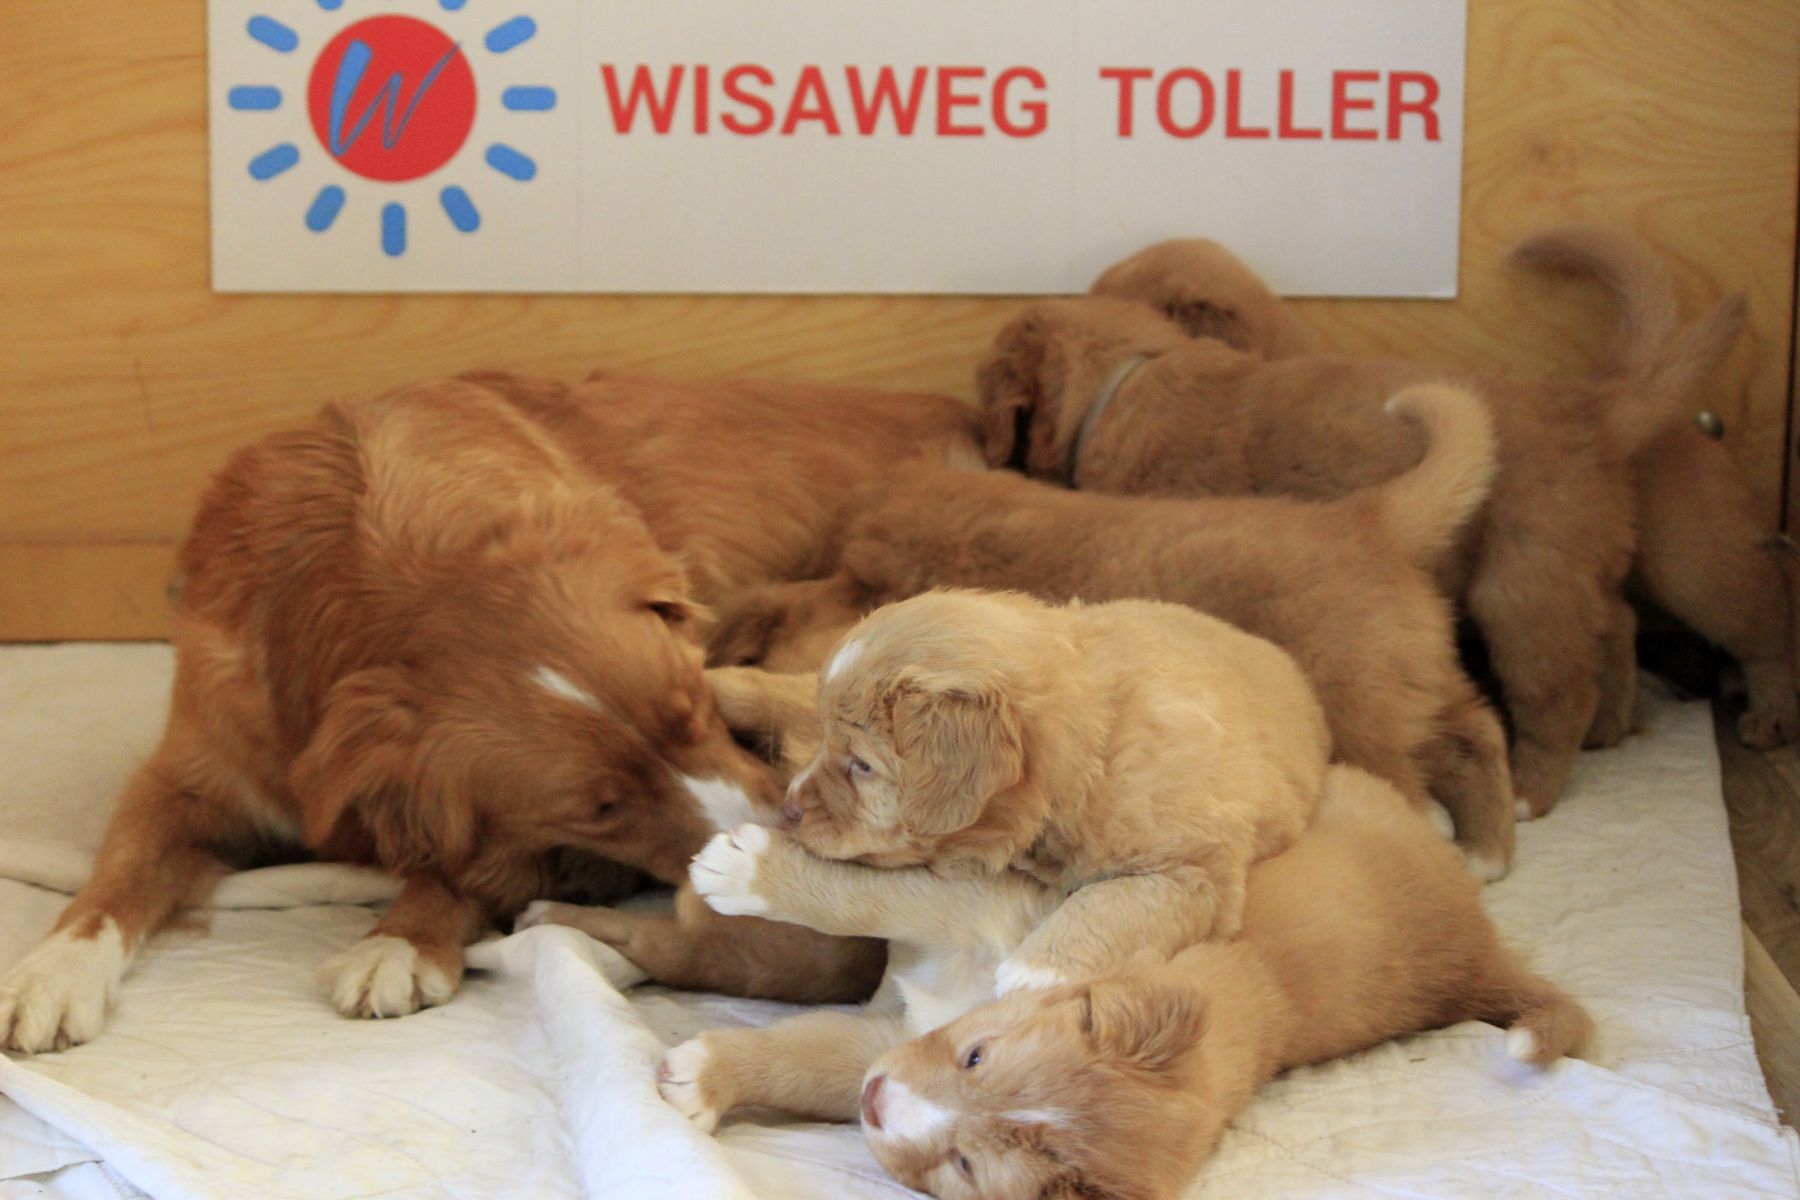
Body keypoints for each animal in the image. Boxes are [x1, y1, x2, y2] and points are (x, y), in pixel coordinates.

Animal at [0, 372, 978, 1052]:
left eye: (696, 705)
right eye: (602, 806)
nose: (777, 851)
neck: (371, 565)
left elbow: (463, 865)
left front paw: (402, 938)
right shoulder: (196, 771)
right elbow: (121, 869)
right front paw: (52, 970)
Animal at [711, 384, 1519, 876]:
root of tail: (1366, 518)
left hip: (1360, 706)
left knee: (1413, 780)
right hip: (1414, 678)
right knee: (1478, 729)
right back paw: (1491, 846)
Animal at [1038, 230, 1757, 813]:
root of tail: (1588, 408)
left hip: (1520, 591)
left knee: (1557, 694)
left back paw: (1533, 790)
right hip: (1574, 568)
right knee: (1617, 627)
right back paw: (1609, 730)